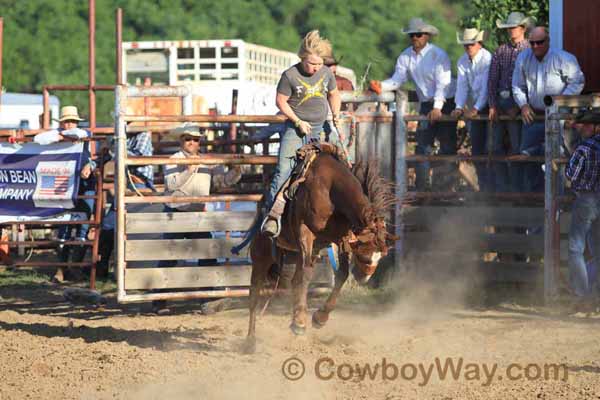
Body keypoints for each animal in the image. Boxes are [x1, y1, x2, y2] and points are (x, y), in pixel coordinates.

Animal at [246, 147, 396, 354]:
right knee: (254, 295)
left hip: (296, 254)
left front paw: (319, 318)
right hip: (261, 255)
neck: (330, 189)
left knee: (295, 280)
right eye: (365, 255)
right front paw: (301, 323)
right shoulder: (305, 232)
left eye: (381, 256)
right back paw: (250, 341)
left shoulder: (341, 238)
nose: (364, 278)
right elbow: (308, 274)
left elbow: (341, 274)